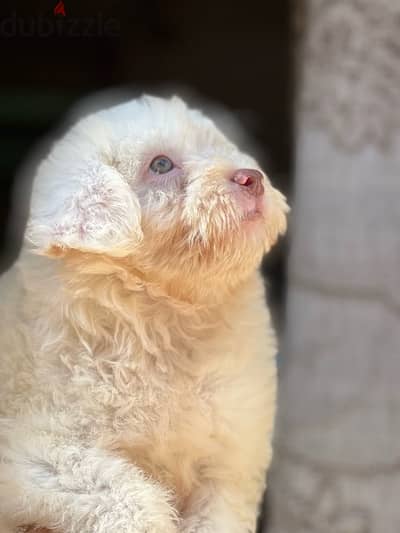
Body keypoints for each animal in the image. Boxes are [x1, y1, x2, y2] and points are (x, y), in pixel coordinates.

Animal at [0, 96, 288, 532]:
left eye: (217, 147)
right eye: (161, 165)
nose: (251, 178)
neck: (165, 318)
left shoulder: (229, 461)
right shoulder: (33, 451)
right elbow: (127, 494)